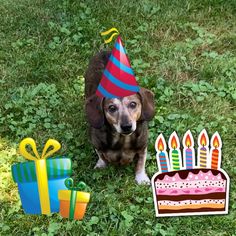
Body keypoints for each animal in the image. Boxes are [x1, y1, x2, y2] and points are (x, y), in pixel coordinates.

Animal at [84, 51, 155, 184]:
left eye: (133, 104)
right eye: (112, 108)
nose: (126, 126)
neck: (123, 140)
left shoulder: (143, 146)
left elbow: (141, 162)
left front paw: (141, 178)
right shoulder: (97, 144)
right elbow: (101, 156)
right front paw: (101, 165)